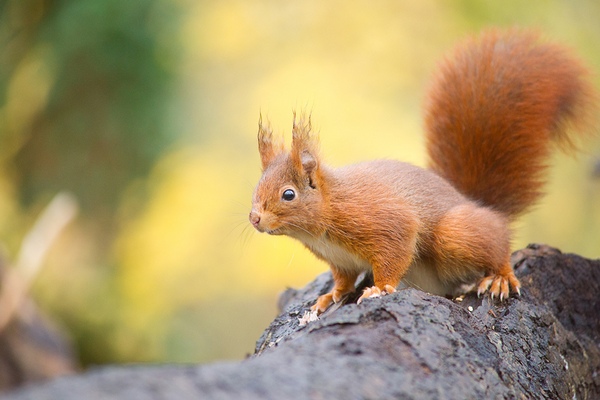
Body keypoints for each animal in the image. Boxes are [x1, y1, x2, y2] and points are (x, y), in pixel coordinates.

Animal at [247, 29, 596, 314]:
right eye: (257, 187)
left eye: (288, 194)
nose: (254, 219)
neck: (326, 215)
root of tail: (472, 201)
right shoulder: (340, 260)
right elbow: (343, 280)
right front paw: (329, 296)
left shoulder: (381, 221)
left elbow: (396, 249)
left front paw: (380, 288)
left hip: (455, 234)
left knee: (497, 241)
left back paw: (500, 276)